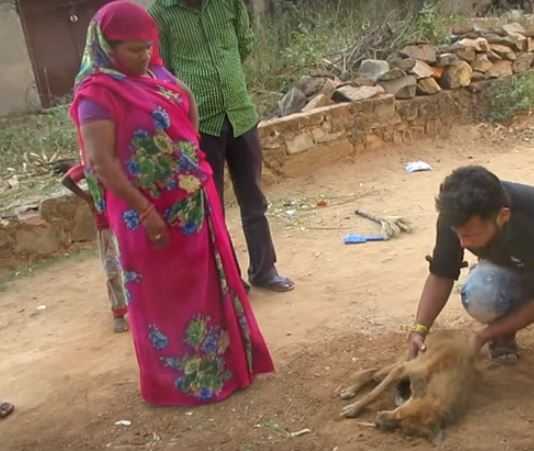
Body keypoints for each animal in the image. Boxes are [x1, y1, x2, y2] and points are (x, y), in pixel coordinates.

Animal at [342, 328, 484, 442]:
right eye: (398, 414)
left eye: (403, 430)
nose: (377, 423)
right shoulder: (402, 370)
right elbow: (374, 393)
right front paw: (353, 408)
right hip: (404, 361)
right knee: (373, 373)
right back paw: (349, 390)